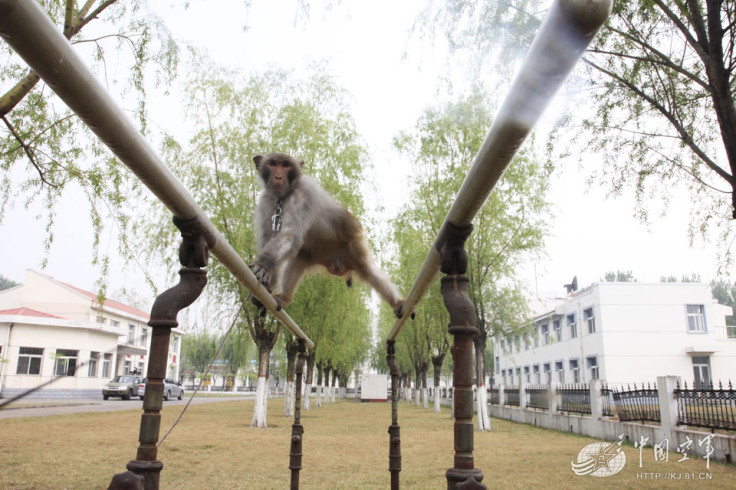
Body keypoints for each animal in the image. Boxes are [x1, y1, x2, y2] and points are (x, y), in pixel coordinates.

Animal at [250, 151, 406, 316]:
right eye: (273, 163)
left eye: (285, 165)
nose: (278, 176)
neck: (282, 196)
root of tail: (337, 265)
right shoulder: (266, 200)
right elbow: (269, 238)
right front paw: (267, 284)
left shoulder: (302, 194)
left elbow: (289, 234)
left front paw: (264, 263)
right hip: (315, 255)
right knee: (298, 260)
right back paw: (284, 297)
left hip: (353, 247)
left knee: (369, 272)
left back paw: (397, 302)